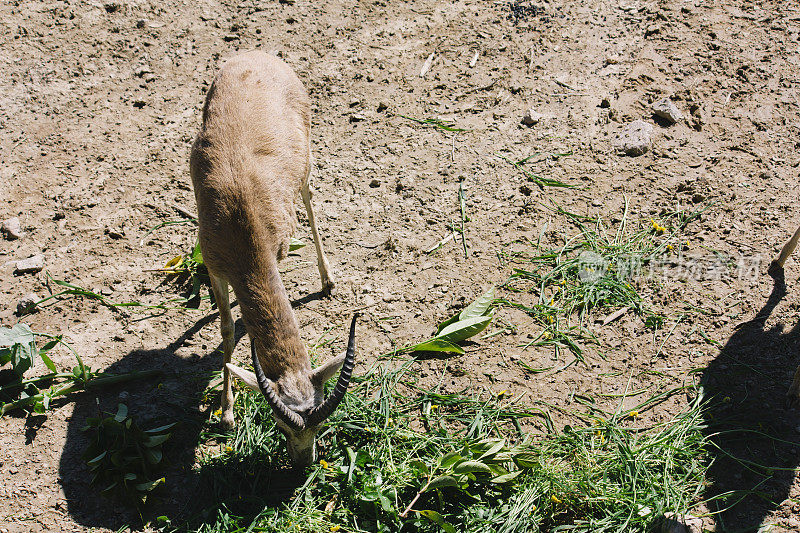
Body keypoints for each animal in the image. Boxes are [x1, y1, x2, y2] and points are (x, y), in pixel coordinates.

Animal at [191, 51, 356, 466]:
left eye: (318, 422)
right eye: (280, 422)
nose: (304, 463)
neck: (241, 218)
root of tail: (258, 55)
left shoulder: (275, 253)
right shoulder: (214, 267)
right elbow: (227, 329)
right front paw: (227, 413)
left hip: (307, 162)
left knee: (309, 196)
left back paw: (328, 280)